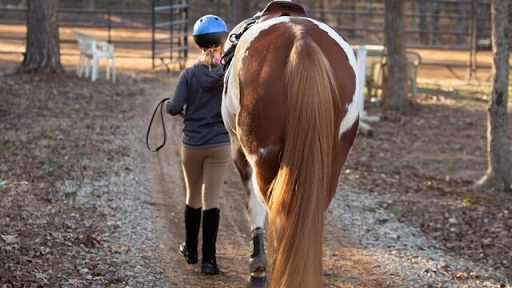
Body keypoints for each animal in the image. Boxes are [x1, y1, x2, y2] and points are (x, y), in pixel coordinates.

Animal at [223, 1, 360, 286]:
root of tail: (301, 40)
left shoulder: (239, 150)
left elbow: (254, 207)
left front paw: (258, 265)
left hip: (262, 155)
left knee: (275, 207)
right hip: (333, 160)